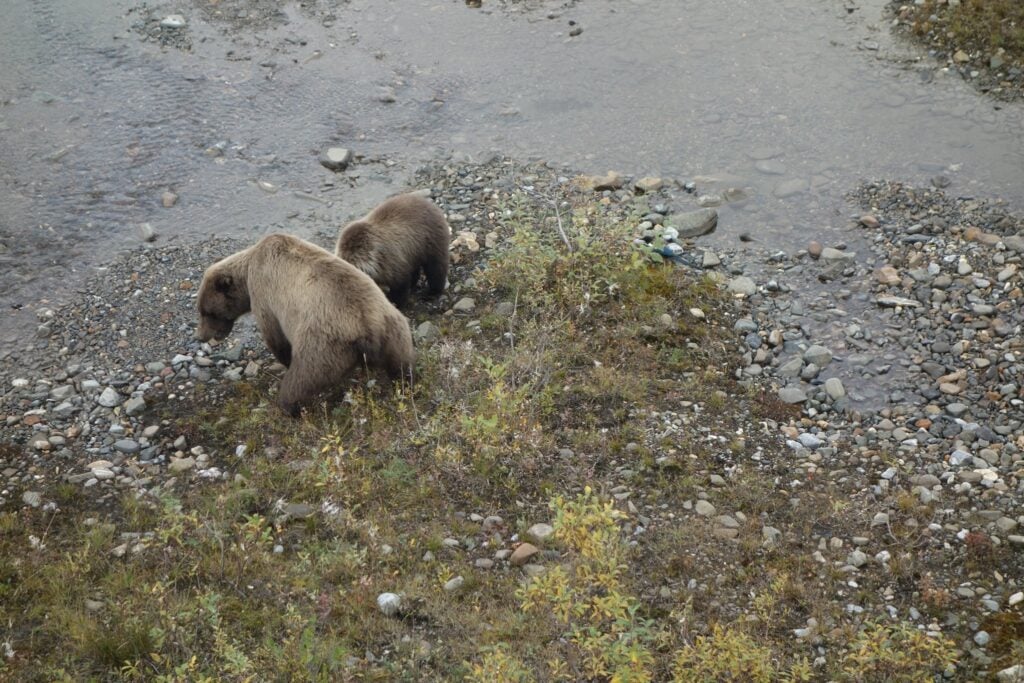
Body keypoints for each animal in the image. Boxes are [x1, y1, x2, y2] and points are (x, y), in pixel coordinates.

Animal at [195, 233, 415, 416]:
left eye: (208, 312)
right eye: (201, 311)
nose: (201, 336)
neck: (248, 271)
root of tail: (368, 329)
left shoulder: (265, 297)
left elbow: (275, 337)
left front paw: (284, 361)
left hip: (321, 344)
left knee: (301, 379)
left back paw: (289, 407)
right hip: (394, 329)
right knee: (401, 362)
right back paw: (406, 382)